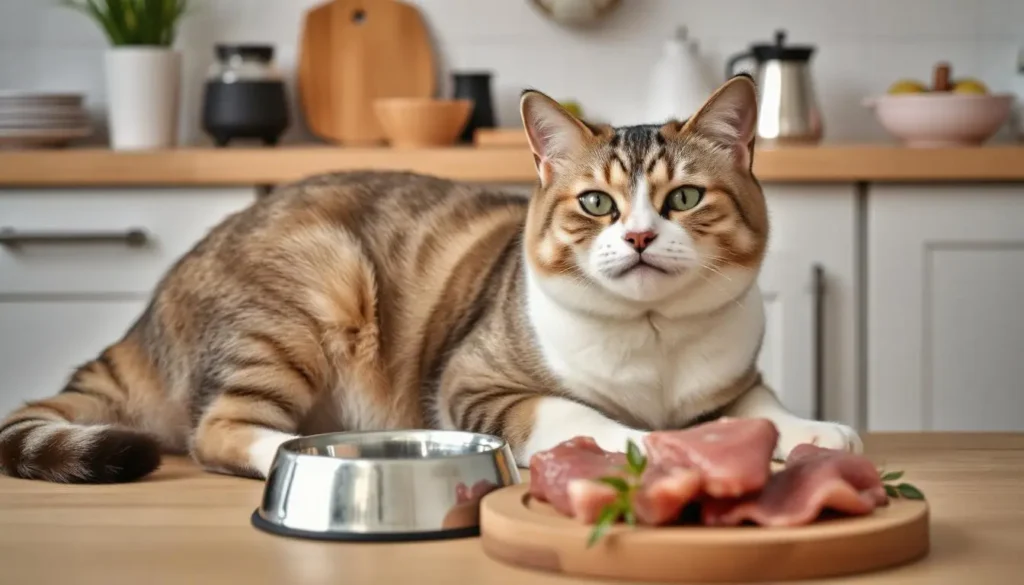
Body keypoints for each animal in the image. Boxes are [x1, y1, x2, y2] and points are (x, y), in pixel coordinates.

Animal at [0, 73, 864, 485]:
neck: (652, 341)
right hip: (307, 295)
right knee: (219, 430)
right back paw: (306, 448)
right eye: (597, 202)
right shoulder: (478, 384)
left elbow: (764, 407)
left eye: (684, 198)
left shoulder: (733, 376)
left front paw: (820, 430)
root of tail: (151, 309)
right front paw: (653, 442)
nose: (642, 235)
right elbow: (585, 415)